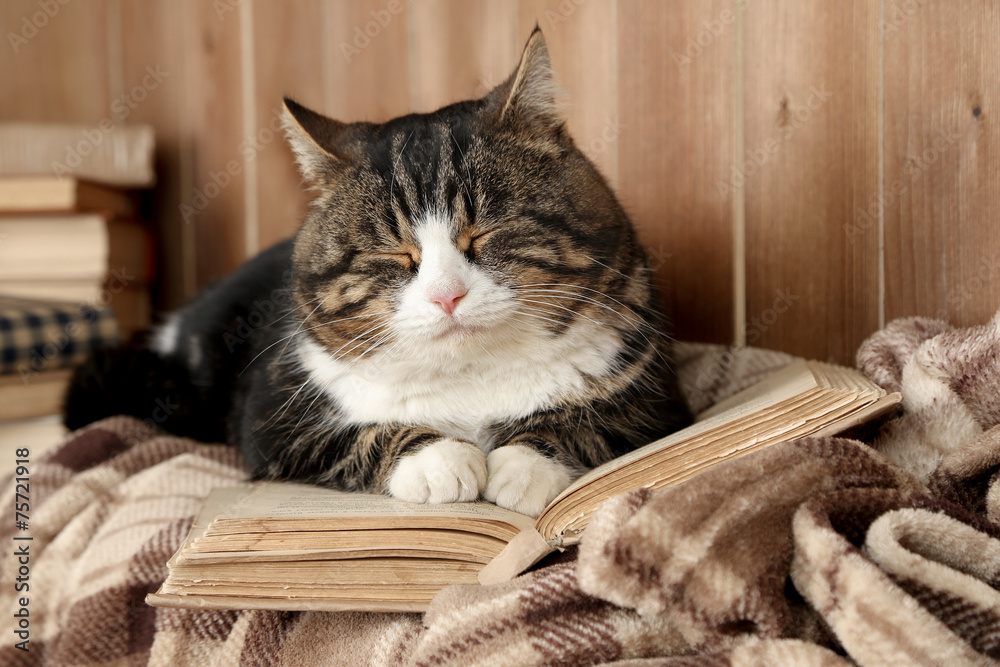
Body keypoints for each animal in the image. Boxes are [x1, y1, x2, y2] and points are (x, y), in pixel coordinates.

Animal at [62, 28, 688, 520]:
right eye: (397, 256)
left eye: (481, 235)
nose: (447, 296)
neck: (471, 380)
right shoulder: (271, 417)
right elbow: (359, 434)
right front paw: (440, 459)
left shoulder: (654, 399)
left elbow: (588, 419)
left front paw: (522, 464)